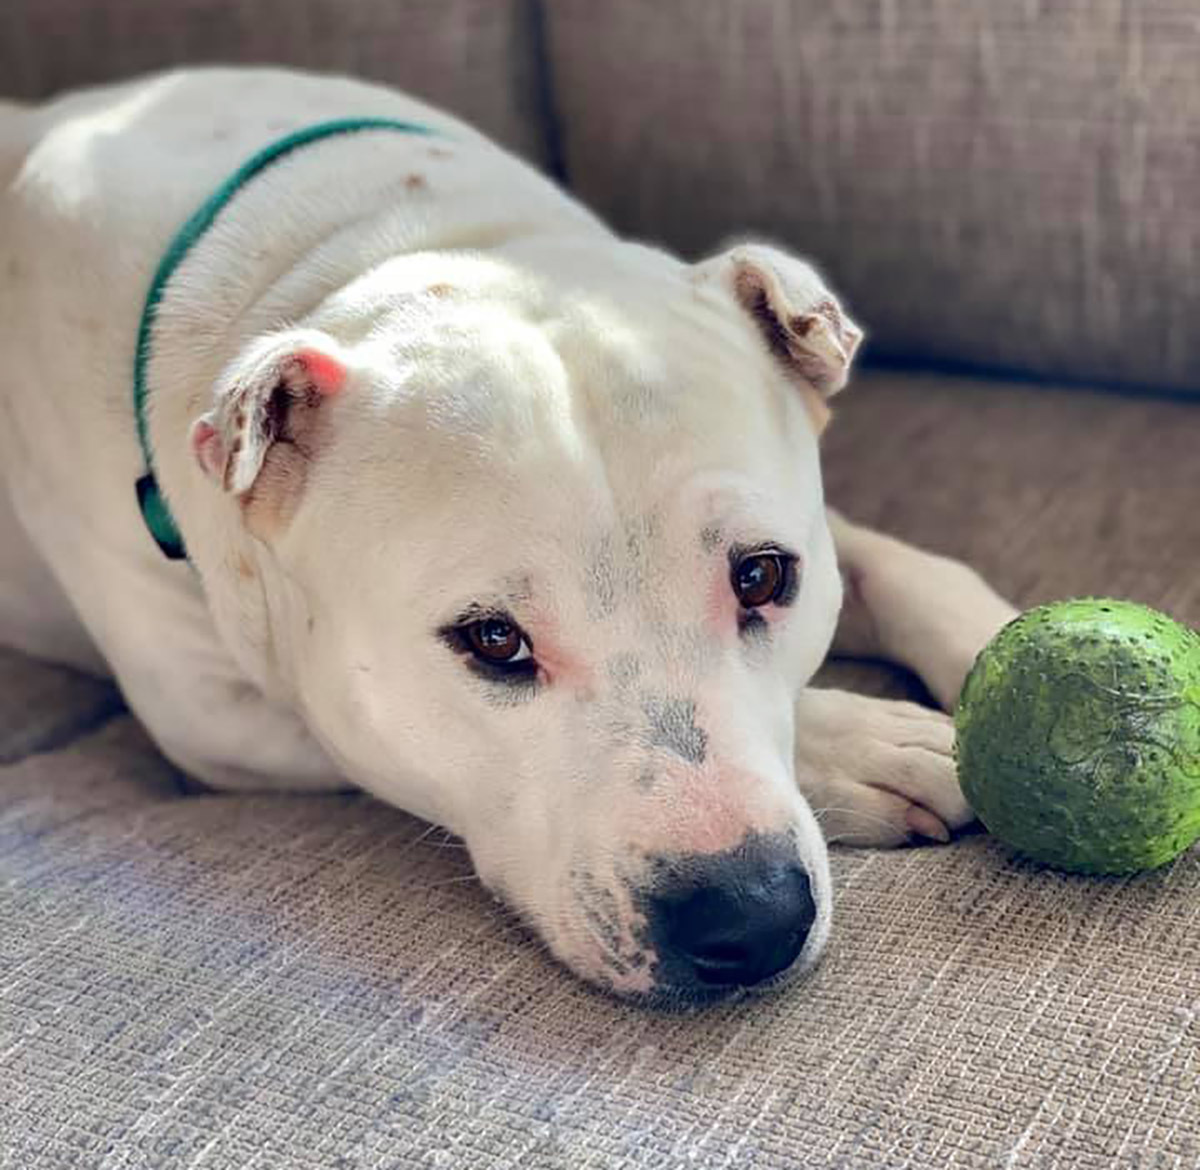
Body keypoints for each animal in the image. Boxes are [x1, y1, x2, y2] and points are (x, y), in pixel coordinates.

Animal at [0, 68, 1012, 1008]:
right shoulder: (216, 715)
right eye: (493, 640)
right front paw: (872, 745)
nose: (751, 918)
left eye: (762, 578)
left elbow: (913, 572)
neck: (364, 243)